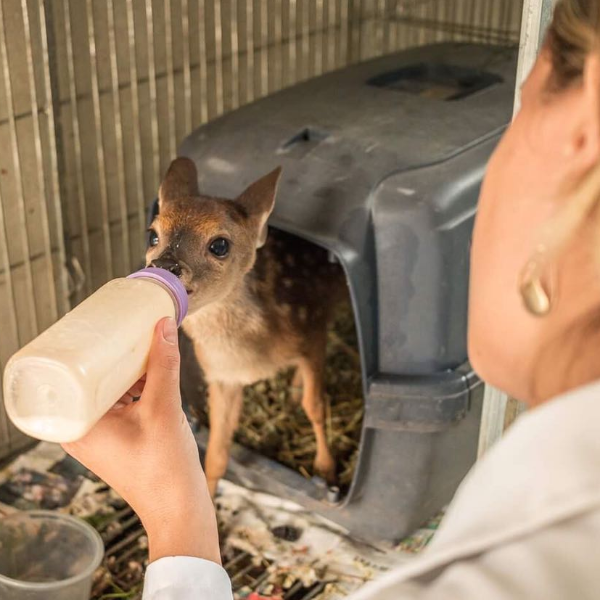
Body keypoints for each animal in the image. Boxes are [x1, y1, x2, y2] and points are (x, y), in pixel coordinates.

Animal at [146, 157, 346, 494]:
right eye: (152, 235)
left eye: (220, 245)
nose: (164, 264)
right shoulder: (222, 377)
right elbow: (216, 453)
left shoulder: (311, 334)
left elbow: (316, 405)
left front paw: (326, 469)